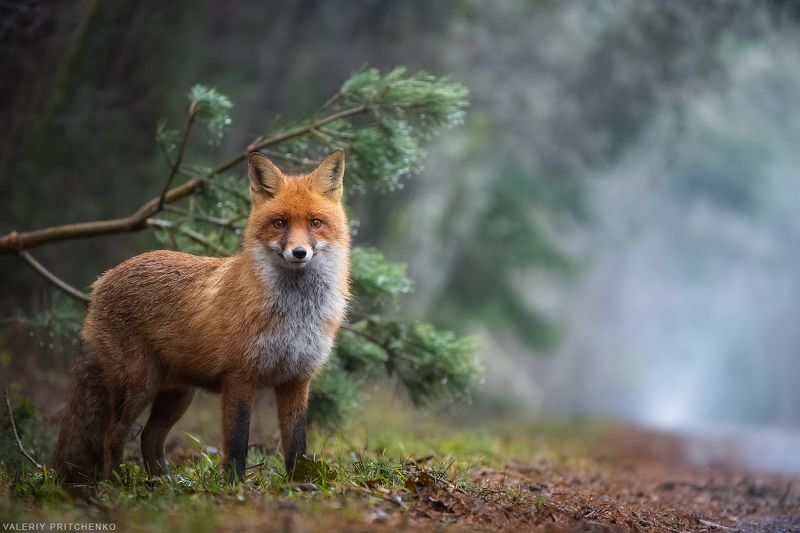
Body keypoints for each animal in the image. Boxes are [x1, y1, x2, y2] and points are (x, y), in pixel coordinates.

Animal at [50, 149, 350, 484]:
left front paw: (299, 483)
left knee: (149, 439)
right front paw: (234, 487)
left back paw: (163, 484)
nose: (299, 253)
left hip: (178, 395)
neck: (296, 313)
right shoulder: (238, 379)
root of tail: (101, 281)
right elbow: (237, 444)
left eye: (315, 222)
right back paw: (115, 485)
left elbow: (297, 445)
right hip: (139, 385)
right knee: (112, 436)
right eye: (279, 223)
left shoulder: (297, 380)